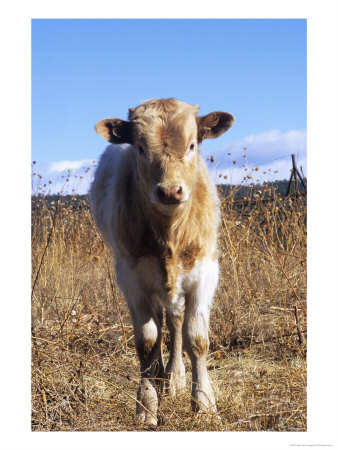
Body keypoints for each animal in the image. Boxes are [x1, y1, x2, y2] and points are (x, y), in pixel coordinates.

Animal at [90, 98, 235, 426]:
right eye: (141, 148)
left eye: (193, 144)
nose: (170, 191)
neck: (170, 232)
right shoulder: (131, 277)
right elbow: (147, 340)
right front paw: (145, 405)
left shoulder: (205, 272)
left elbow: (196, 338)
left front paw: (204, 403)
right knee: (159, 321)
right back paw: (158, 375)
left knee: (175, 320)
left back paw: (174, 377)